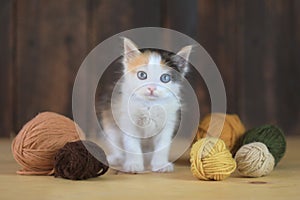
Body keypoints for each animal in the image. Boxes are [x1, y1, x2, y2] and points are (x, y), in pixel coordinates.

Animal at [99, 38, 192, 173]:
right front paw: (134, 165)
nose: (151, 88)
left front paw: (160, 165)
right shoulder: (127, 120)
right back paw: (117, 158)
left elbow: (163, 145)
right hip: (110, 124)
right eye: (142, 75)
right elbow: (131, 145)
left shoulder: (168, 122)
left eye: (165, 78)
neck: (149, 105)